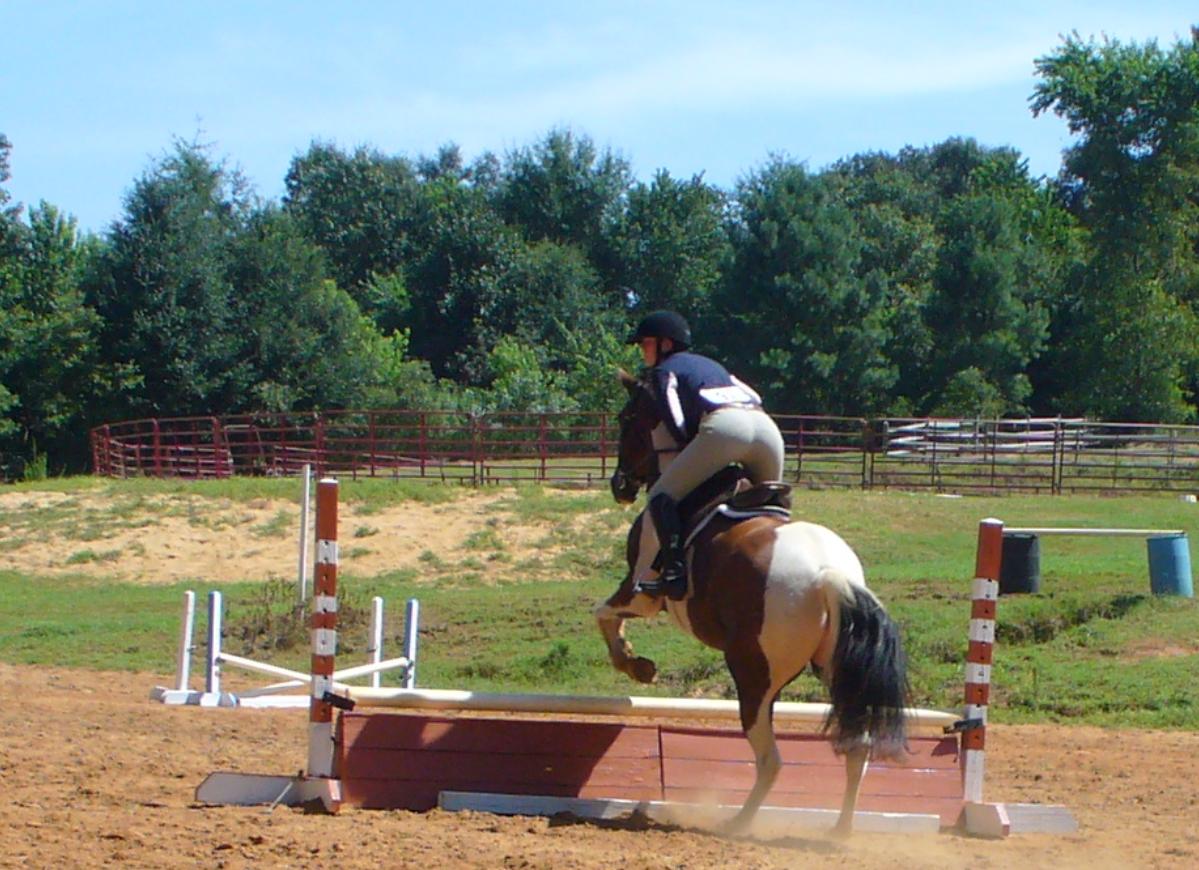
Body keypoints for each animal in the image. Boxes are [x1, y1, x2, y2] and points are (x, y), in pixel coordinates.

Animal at [594, 373, 911, 838]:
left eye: (626, 418)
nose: (619, 485)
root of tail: (830, 575)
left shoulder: (640, 593)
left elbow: (603, 614)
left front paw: (635, 665)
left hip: (753, 676)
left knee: (771, 759)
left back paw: (737, 823)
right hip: (838, 671)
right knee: (858, 748)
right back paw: (839, 831)